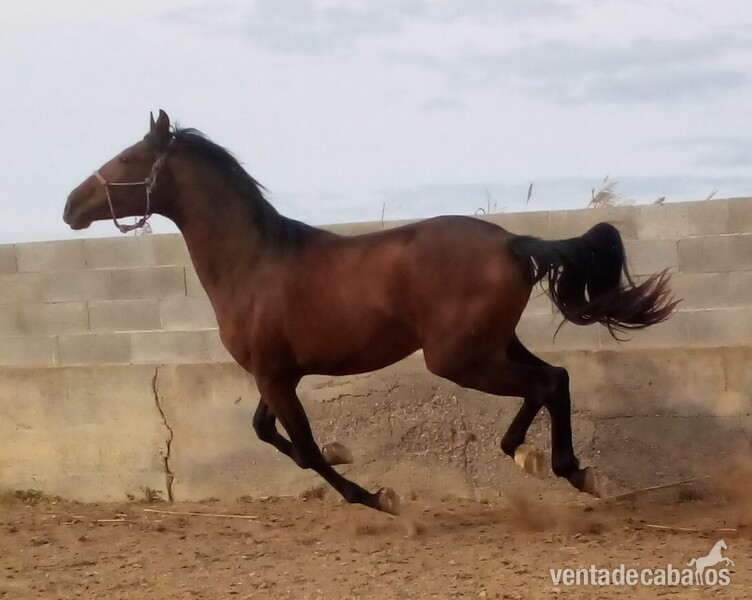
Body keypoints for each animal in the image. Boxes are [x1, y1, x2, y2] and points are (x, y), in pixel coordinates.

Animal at [64, 110, 677, 514]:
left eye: (128, 158)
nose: (70, 205)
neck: (254, 263)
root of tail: (511, 243)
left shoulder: (274, 376)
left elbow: (305, 447)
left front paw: (377, 496)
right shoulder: (276, 374)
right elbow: (273, 435)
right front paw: (349, 459)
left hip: (458, 358)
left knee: (547, 382)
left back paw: (565, 469)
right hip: (491, 345)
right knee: (555, 379)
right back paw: (533, 457)